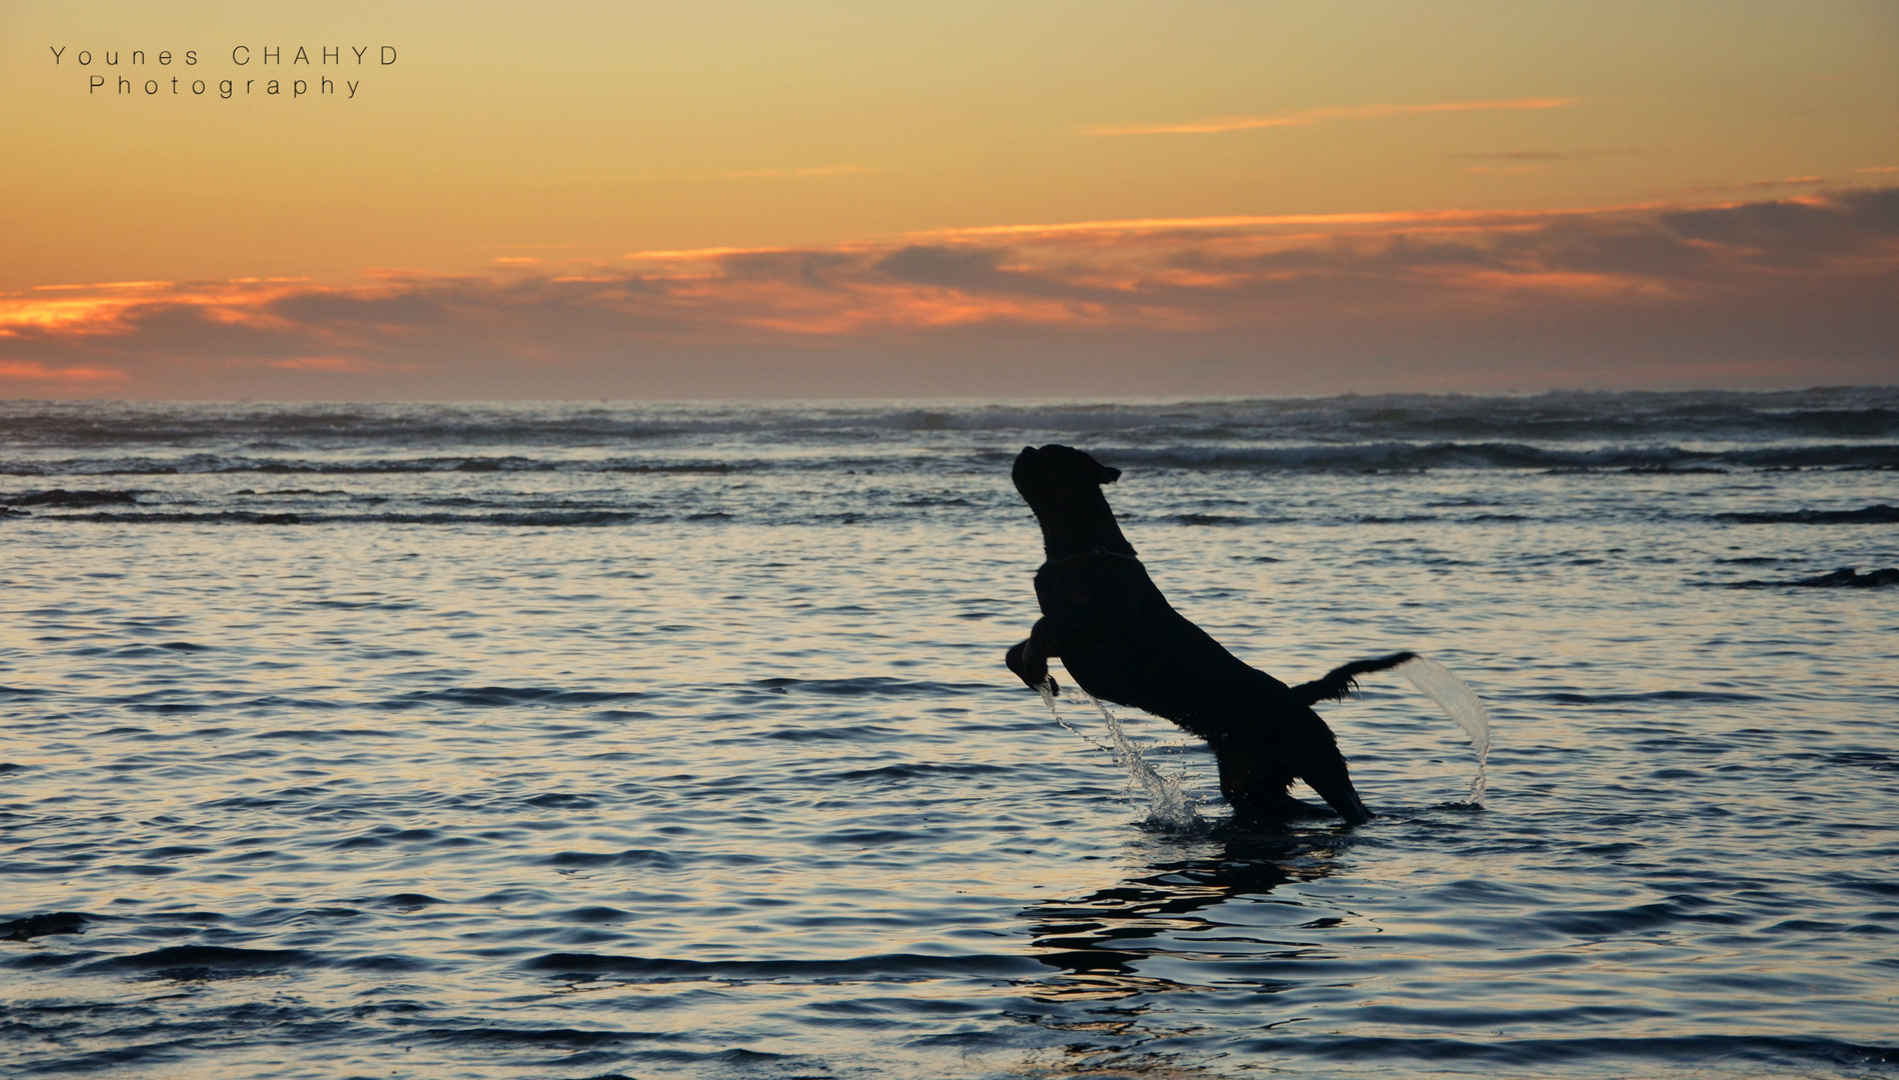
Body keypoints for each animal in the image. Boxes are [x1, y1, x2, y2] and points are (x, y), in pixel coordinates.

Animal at [1010, 442, 1412, 819]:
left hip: (1319, 762)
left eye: (1049, 455)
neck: (1082, 546)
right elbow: (1015, 650)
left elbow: (1042, 627)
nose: (1027, 448)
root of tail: (1299, 696)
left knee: (1352, 805)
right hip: (1249, 781)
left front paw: (1036, 667)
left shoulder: (1092, 628)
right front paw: (1039, 675)